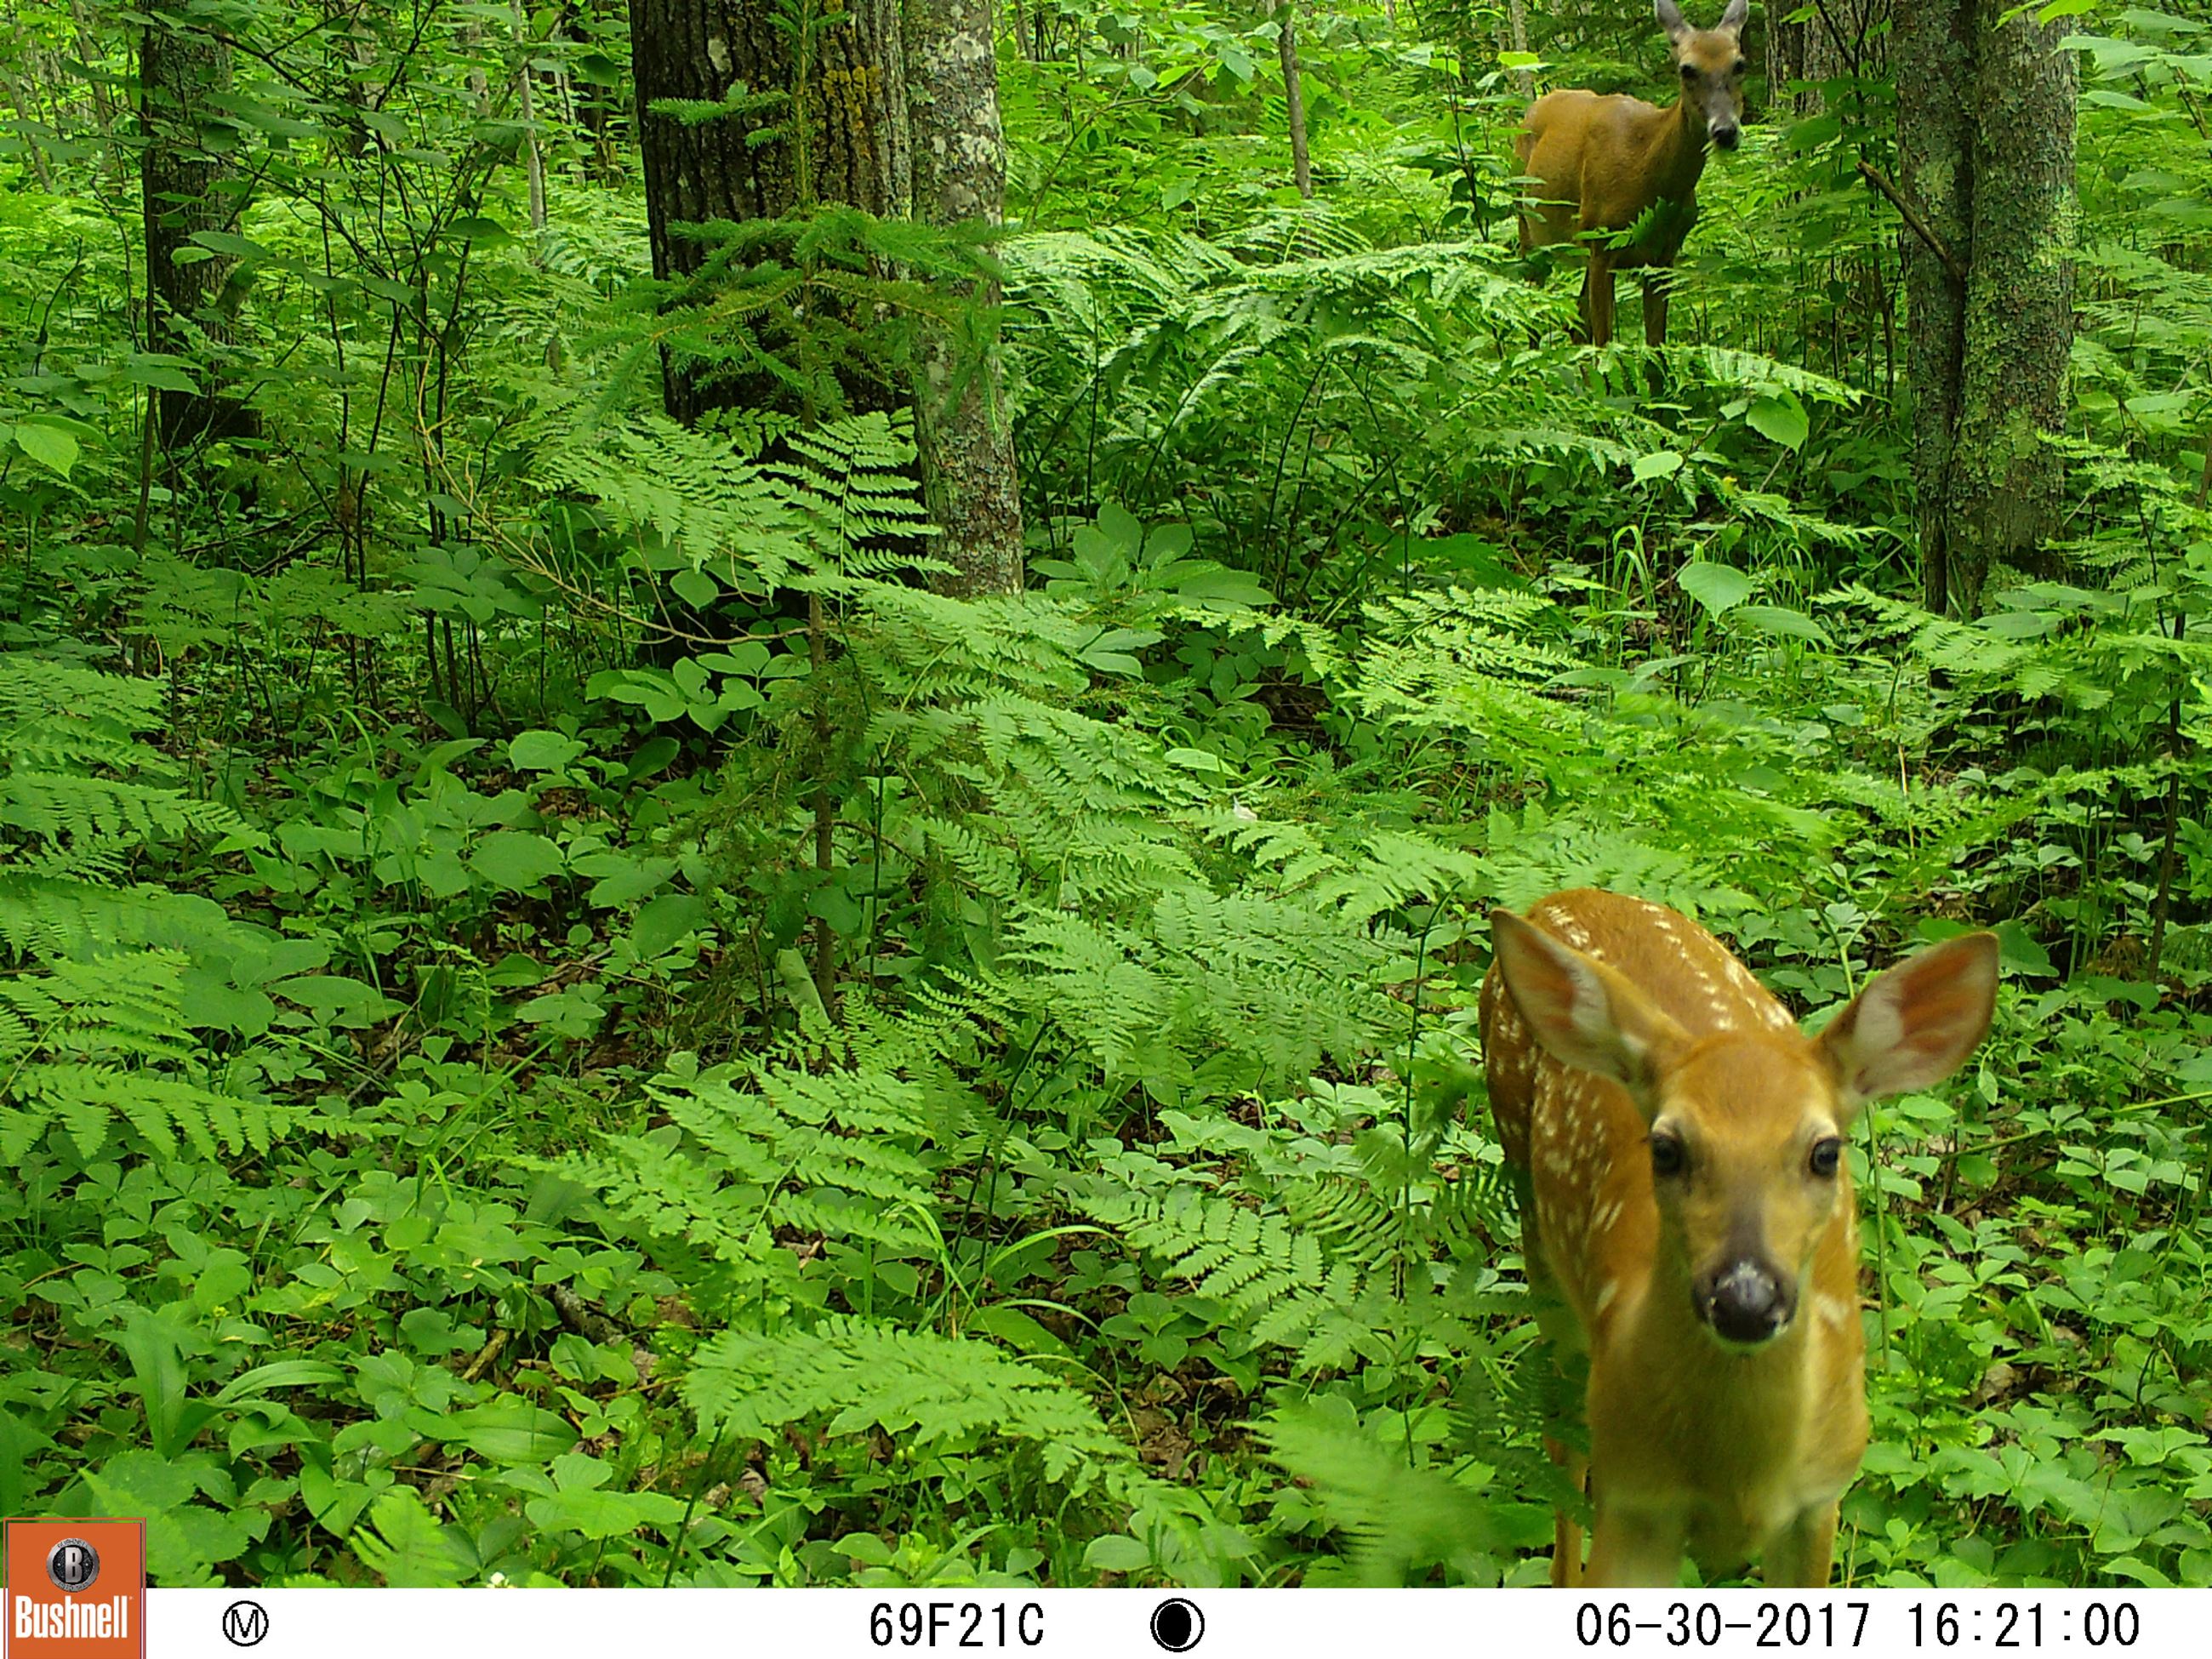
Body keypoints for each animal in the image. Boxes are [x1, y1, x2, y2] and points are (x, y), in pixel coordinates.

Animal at [1479, 889, 1999, 1587]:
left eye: (1825, 1152)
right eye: (1666, 1148)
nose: (1745, 1299)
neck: (1744, 1481)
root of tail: (1565, 896)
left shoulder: (1823, 1495)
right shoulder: (1633, 1494)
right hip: (1537, 1239)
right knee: (1560, 1449)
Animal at [1515, 0, 1750, 348]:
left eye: (1739, 65)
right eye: (1686, 69)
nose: (1725, 131)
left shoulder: (1664, 257)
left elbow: (1655, 349)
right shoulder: (1600, 241)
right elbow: (1604, 345)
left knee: (1577, 322)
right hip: (1527, 223)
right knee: (1532, 311)